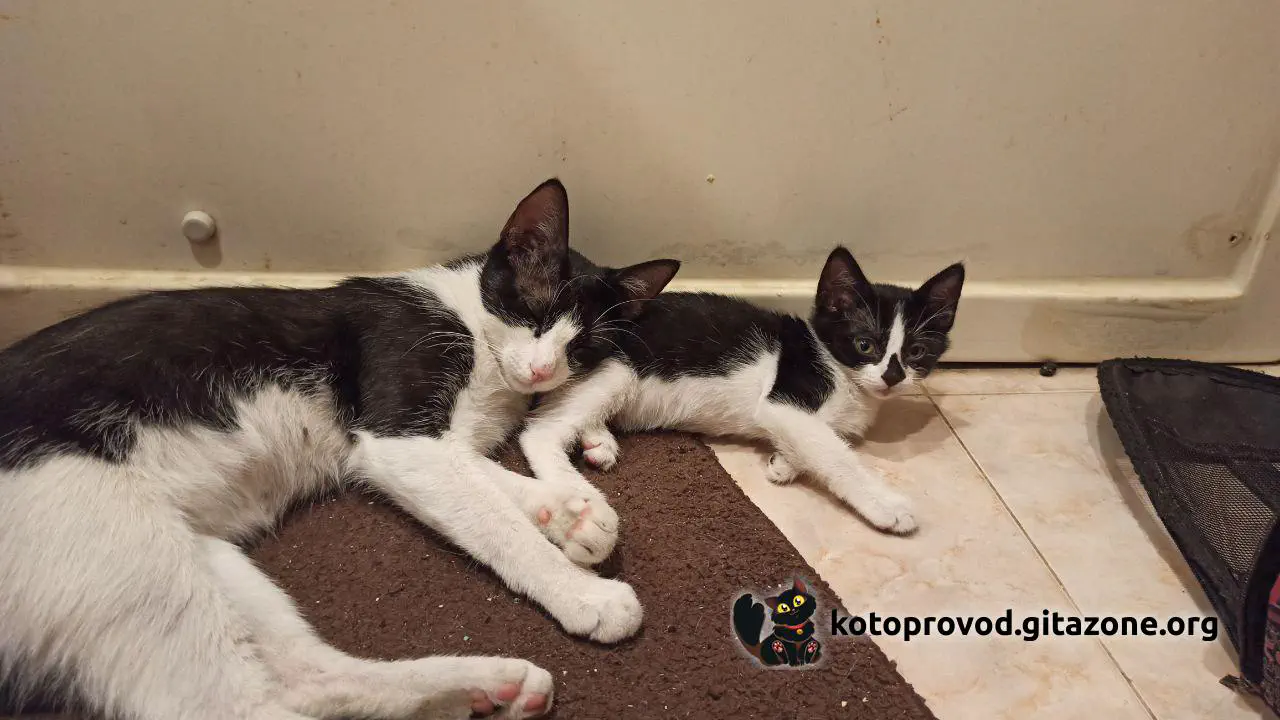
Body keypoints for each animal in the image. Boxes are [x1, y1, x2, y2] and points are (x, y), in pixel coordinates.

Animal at [0, 178, 680, 720]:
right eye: (535, 311)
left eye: (583, 346)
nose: (542, 371)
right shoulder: (399, 435)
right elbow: (492, 520)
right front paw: (583, 591)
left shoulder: (426, 444)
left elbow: (483, 476)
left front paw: (572, 513)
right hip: (117, 541)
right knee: (233, 707)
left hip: (194, 554)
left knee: (307, 680)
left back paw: (488, 685)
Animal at [520, 246, 964, 534]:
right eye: (864, 345)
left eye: (917, 351)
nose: (892, 377)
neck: (843, 376)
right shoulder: (785, 400)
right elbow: (833, 452)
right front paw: (887, 505)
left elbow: (816, 442)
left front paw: (784, 463)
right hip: (619, 370)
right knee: (540, 431)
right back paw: (579, 491)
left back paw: (599, 441)